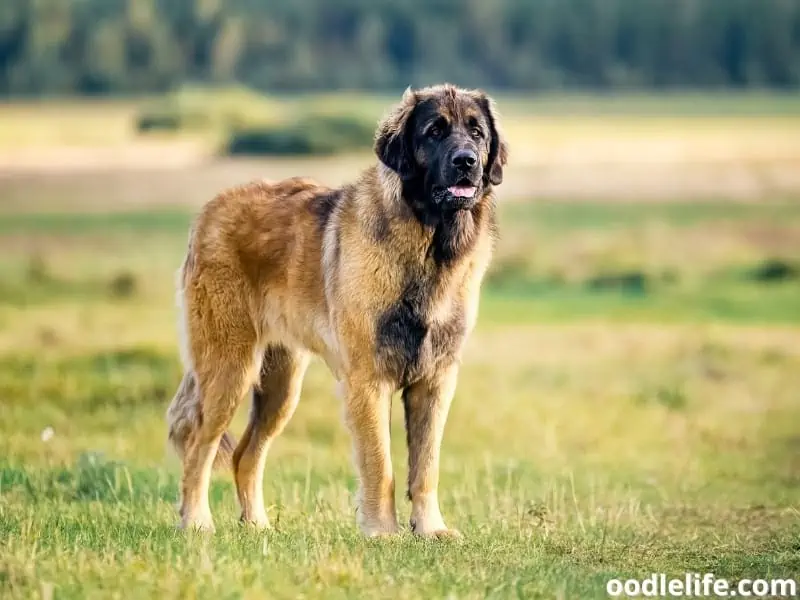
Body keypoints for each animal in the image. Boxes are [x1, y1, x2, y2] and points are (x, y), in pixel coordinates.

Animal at [166, 82, 510, 536]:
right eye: (434, 131)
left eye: (476, 132)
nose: (466, 161)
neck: (430, 245)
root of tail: (209, 211)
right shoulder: (368, 379)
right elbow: (380, 464)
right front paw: (382, 532)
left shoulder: (436, 379)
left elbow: (426, 466)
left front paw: (431, 529)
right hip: (229, 368)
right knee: (199, 444)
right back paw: (196, 521)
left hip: (281, 386)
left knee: (245, 454)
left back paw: (257, 526)